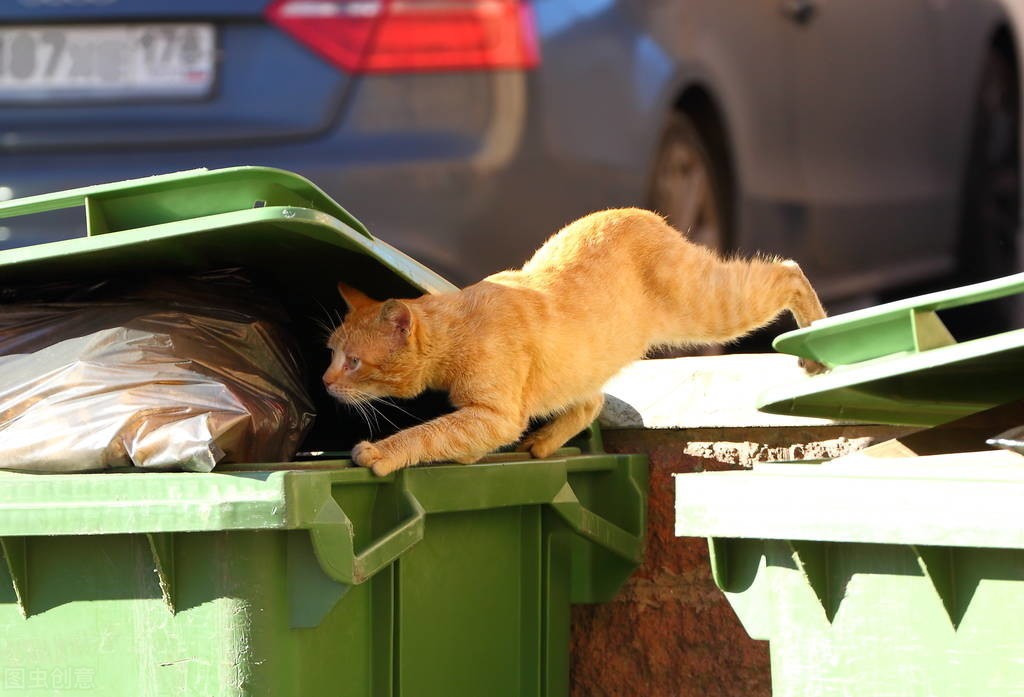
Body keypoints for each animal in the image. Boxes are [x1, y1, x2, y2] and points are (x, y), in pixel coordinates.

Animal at [323, 206, 827, 474]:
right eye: (331, 354)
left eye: (353, 362)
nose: (325, 381)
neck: (459, 324)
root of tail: (641, 212)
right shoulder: (487, 421)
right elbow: (444, 438)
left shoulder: (494, 418)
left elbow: (427, 433)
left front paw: (381, 452)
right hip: (583, 365)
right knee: (593, 400)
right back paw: (547, 442)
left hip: (712, 307)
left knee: (787, 270)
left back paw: (816, 345)